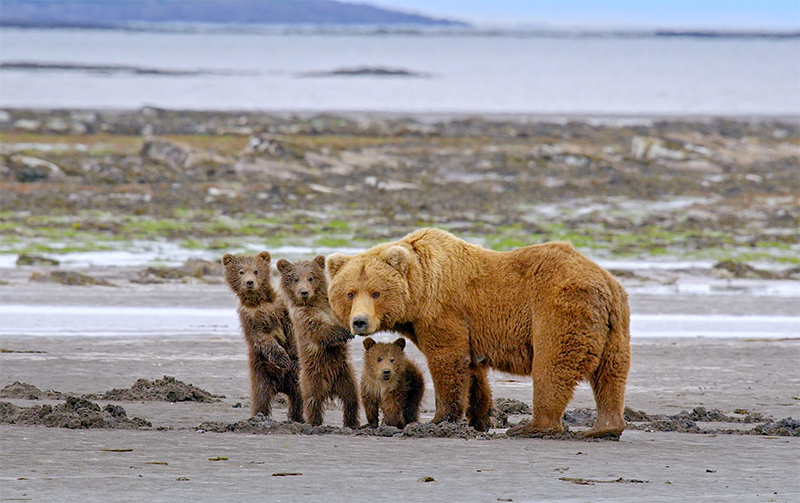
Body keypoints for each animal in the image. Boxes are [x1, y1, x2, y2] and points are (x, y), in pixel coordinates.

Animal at [222, 251, 303, 422]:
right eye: (241, 271)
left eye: (256, 270)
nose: (250, 282)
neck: (260, 302)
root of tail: (281, 387)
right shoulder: (250, 318)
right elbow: (261, 338)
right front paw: (282, 358)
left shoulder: (281, 308)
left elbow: (292, 330)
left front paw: (291, 355)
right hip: (261, 371)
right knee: (261, 397)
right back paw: (259, 416)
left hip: (296, 377)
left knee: (299, 396)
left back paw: (297, 418)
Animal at [276, 255, 360, 429]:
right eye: (295, 279)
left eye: (311, 277)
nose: (304, 292)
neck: (315, 303)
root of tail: (330, 388)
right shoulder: (304, 317)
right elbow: (321, 332)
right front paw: (343, 331)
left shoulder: (331, 307)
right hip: (312, 377)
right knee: (313, 402)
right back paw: (315, 423)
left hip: (345, 375)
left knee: (351, 398)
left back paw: (352, 423)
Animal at [326, 228, 631, 438]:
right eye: (350, 293)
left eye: (375, 292)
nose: (360, 322)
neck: (420, 289)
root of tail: (603, 282)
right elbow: (474, 372)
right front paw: (480, 419)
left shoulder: (444, 311)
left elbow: (447, 360)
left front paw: (440, 419)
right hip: (616, 321)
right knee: (612, 372)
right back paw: (605, 427)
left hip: (559, 309)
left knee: (553, 365)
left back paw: (533, 426)